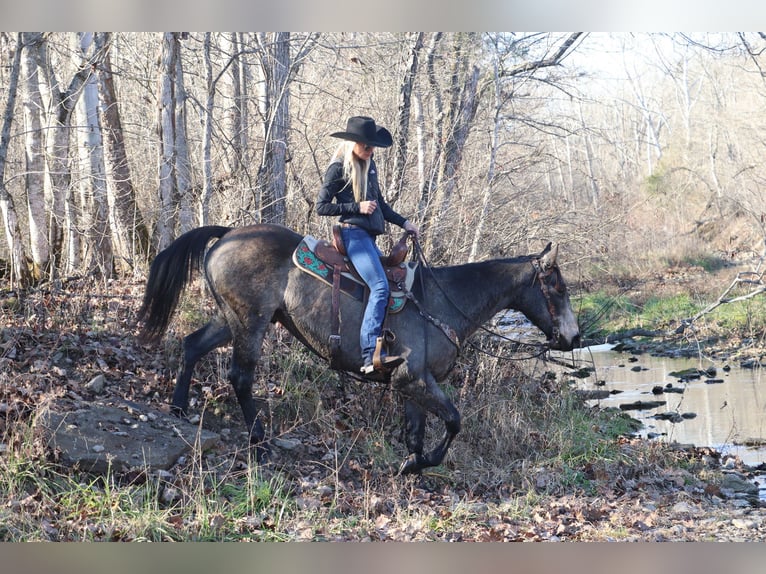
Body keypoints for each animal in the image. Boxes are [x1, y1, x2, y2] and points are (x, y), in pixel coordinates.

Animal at [138, 223, 584, 474]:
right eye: (558, 288)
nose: (574, 338)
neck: (443, 302)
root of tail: (229, 234)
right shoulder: (413, 379)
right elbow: (455, 421)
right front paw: (418, 465)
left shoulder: (411, 387)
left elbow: (416, 434)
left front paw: (413, 467)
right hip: (250, 322)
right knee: (241, 377)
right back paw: (260, 444)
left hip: (230, 318)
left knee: (192, 346)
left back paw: (178, 408)